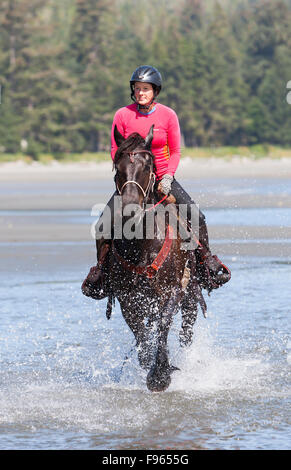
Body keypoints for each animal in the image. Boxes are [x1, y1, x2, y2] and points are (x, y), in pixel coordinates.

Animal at [93, 126, 208, 392]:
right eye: (118, 166)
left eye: (147, 166)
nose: (129, 209)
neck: (141, 244)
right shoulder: (127, 298)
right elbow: (142, 336)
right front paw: (150, 365)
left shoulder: (173, 290)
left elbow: (164, 325)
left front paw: (161, 375)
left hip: (191, 294)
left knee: (186, 332)